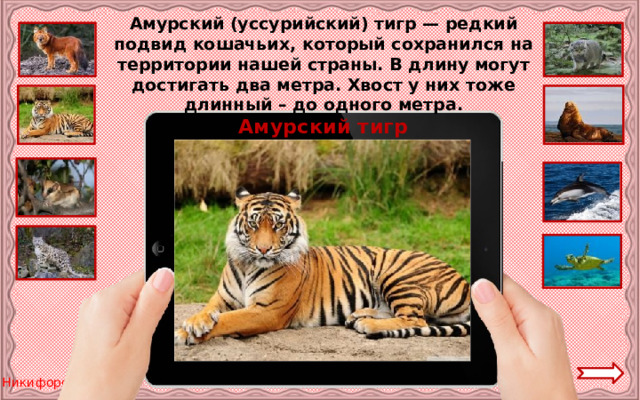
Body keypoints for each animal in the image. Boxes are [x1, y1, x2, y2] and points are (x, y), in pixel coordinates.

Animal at [175, 188, 471, 344]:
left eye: (278, 225)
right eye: (253, 224)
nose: (263, 249)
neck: (248, 264)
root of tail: (465, 283)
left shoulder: (267, 310)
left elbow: (228, 320)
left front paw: (186, 333)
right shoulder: (223, 297)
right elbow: (208, 311)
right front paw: (193, 323)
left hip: (397, 275)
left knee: (415, 318)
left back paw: (367, 325)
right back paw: (358, 316)